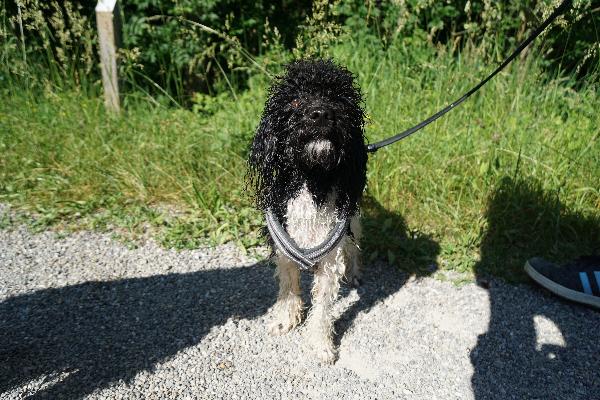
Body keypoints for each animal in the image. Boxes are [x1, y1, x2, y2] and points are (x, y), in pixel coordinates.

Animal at [247, 59, 368, 363]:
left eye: (337, 98)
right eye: (295, 100)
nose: (320, 113)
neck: (313, 180)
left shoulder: (330, 258)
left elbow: (323, 305)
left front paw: (321, 344)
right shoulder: (283, 248)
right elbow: (289, 286)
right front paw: (285, 320)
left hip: (353, 220)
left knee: (354, 247)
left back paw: (355, 273)